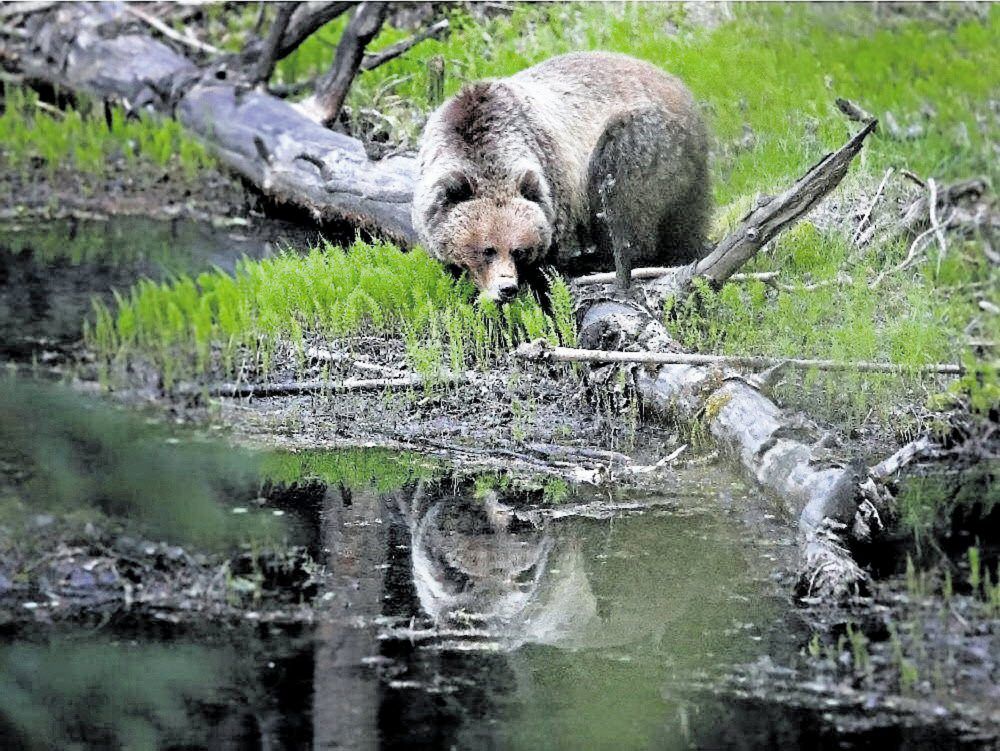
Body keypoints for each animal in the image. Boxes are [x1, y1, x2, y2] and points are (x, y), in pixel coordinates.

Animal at [412, 50, 712, 304]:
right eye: (487, 249)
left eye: (518, 250)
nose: (507, 288)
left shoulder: (555, 186)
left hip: (644, 140)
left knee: (621, 197)